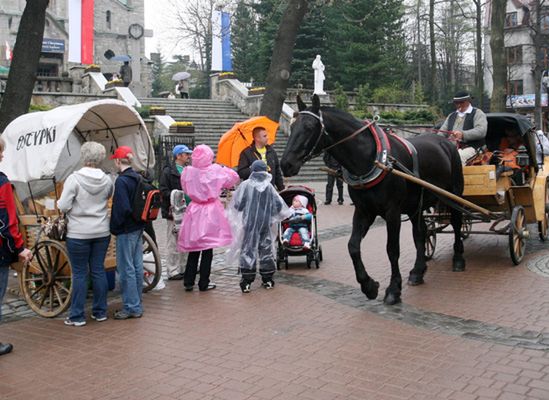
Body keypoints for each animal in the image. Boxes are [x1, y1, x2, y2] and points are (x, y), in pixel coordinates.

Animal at [280, 95, 464, 304]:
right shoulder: (364, 211)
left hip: (454, 195)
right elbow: (353, 246)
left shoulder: (392, 212)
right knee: (421, 233)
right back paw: (418, 271)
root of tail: (446, 141)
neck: (372, 160)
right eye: (292, 126)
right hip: (415, 206)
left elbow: (392, 250)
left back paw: (458, 258)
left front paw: (393, 289)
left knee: (457, 222)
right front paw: (368, 285)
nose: (286, 164)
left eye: (309, 127)